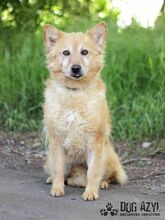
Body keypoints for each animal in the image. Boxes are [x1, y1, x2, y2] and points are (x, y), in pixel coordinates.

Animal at [42, 22, 127, 201]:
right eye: (66, 52)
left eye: (84, 52)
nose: (76, 68)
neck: (75, 93)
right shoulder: (57, 141)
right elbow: (58, 170)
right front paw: (57, 188)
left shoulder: (95, 141)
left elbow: (93, 172)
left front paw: (91, 192)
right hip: (52, 158)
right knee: (63, 173)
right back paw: (52, 179)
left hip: (107, 155)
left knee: (108, 175)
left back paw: (103, 183)